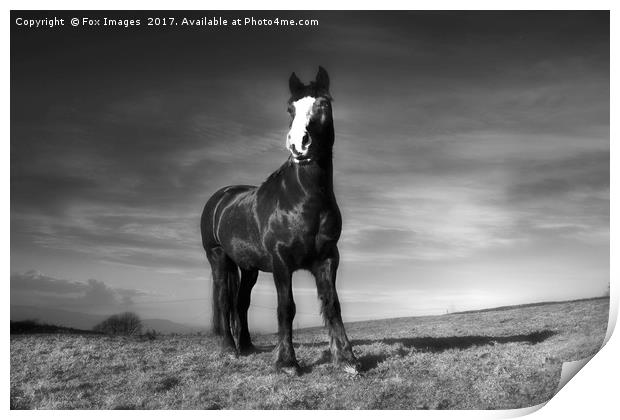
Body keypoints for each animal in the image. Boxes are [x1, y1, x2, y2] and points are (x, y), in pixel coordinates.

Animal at [201, 67, 358, 376]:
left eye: (323, 103)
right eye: (290, 108)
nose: (299, 145)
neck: (302, 200)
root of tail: (220, 199)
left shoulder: (327, 258)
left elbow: (332, 305)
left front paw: (347, 359)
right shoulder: (281, 262)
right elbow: (286, 307)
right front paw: (287, 362)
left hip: (248, 267)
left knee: (241, 303)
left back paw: (247, 346)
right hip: (218, 258)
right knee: (224, 301)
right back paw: (229, 350)